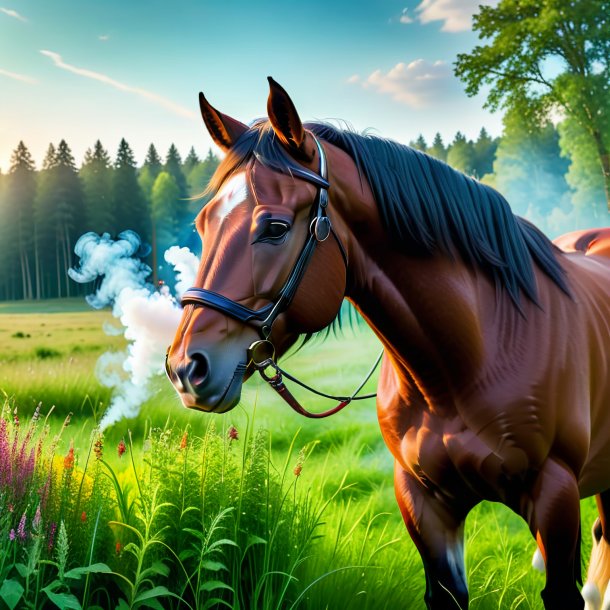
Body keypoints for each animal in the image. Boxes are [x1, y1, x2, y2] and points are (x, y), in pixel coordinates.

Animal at [166, 78, 610, 604]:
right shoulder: (424, 503)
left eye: (274, 228)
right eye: (203, 224)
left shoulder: (555, 498)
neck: (472, 360)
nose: (185, 367)